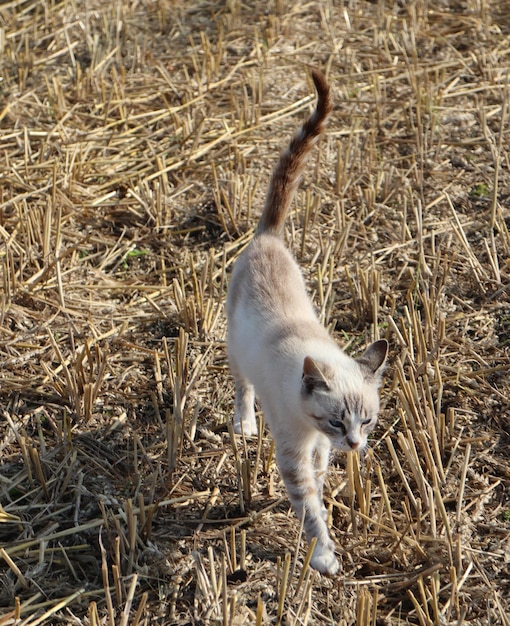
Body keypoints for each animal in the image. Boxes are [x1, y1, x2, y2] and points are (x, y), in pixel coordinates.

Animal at [225, 69, 388, 576]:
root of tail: (269, 237)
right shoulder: (295, 450)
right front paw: (324, 558)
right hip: (234, 350)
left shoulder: (317, 446)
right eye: (337, 421)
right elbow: (310, 508)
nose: (354, 445)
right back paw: (244, 425)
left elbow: (318, 473)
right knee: (242, 388)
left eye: (368, 422)